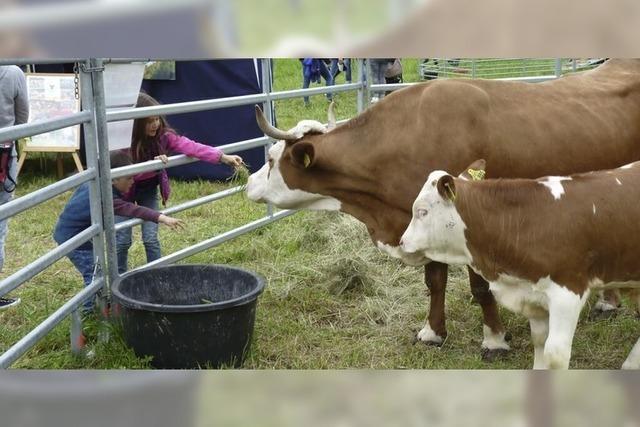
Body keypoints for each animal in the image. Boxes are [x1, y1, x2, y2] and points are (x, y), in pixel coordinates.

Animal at [400, 162, 640, 370]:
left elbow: (556, 354)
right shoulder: (532, 295)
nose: (402, 242)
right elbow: (540, 341)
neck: (526, 221)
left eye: (422, 212)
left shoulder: (568, 293)